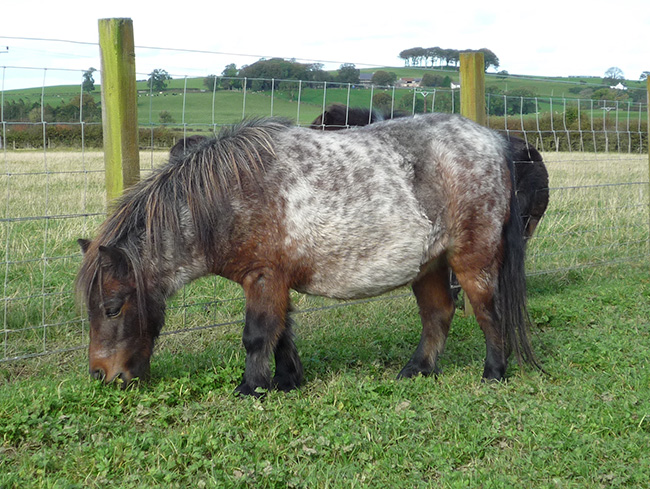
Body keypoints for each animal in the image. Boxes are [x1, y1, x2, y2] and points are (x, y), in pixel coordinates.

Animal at [76, 114, 540, 396]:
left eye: (113, 307)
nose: (102, 375)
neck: (229, 195)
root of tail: (494, 140)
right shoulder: (276, 282)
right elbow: (281, 334)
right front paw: (286, 380)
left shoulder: (263, 278)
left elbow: (257, 334)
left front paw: (250, 388)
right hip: (429, 264)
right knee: (438, 314)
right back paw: (417, 369)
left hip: (472, 259)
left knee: (487, 311)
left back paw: (494, 372)